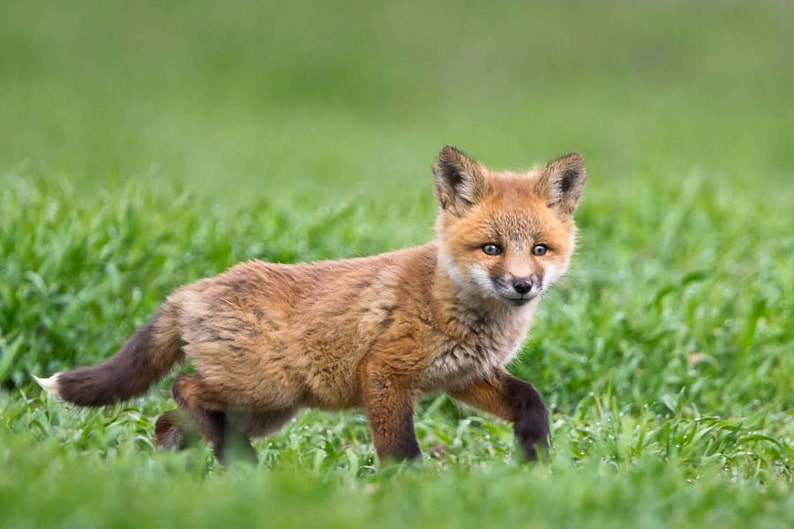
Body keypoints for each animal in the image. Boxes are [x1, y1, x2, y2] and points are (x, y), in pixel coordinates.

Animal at [34, 146, 584, 464]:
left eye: (540, 249)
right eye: (491, 248)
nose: (522, 285)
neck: (456, 309)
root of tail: (191, 289)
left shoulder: (464, 376)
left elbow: (530, 398)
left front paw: (536, 456)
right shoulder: (385, 373)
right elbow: (400, 449)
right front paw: (408, 491)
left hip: (266, 409)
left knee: (167, 420)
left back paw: (176, 470)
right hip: (263, 389)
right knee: (182, 388)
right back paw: (236, 462)